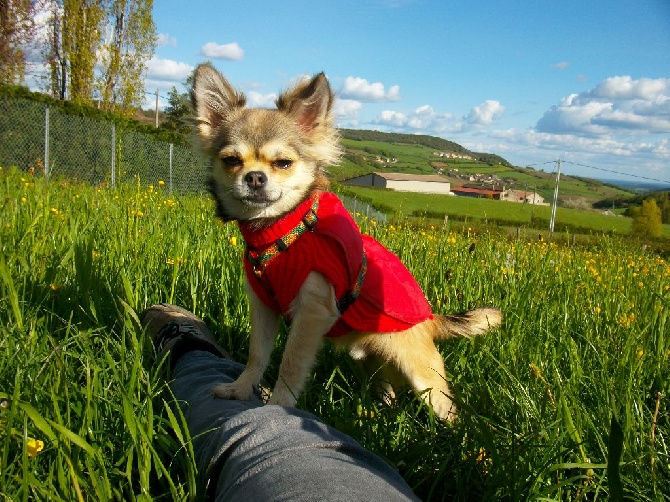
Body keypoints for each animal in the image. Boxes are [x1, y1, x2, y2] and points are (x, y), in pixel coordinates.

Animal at [192, 64, 502, 422]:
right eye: (231, 160)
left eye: (283, 163)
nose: (255, 177)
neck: (280, 233)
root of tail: (430, 320)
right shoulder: (264, 307)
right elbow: (257, 355)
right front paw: (241, 390)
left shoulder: (313, 312)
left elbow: (291, 363)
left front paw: (278, 406)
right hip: (377, 363)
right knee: (388, 392)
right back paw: (375, 415)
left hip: (422, 375)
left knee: (442, 404)